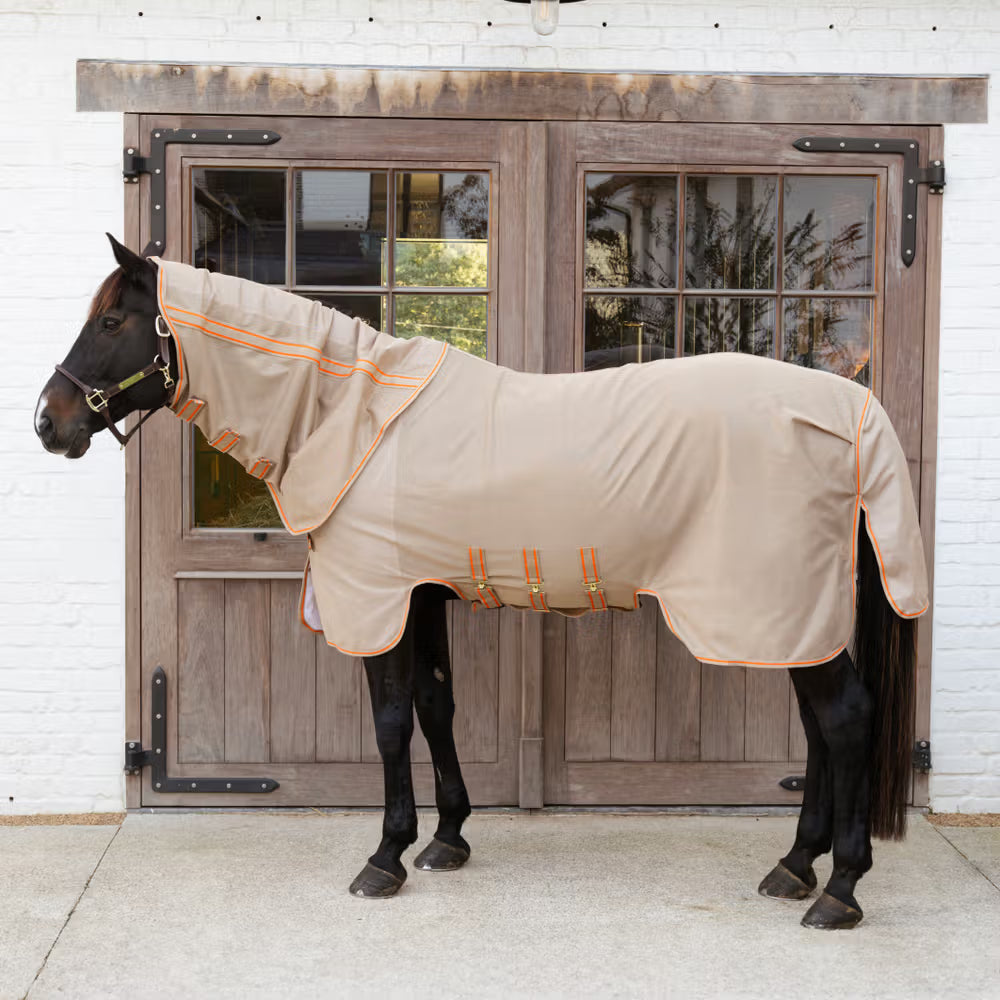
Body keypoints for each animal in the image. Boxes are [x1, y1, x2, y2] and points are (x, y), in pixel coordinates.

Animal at [35, 234, 928, 930]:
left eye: (112, 321)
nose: (49, 422)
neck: (351, 416)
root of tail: (850, 410)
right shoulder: (422, 594)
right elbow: (437, 704)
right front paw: (448, 838)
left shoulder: (382, 599)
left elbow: (392, 720)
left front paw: (386, 855)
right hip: (793, 614)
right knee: (819, 729)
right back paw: (796, 866)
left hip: (776, 607)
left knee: (845, 719)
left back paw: (839, 889)